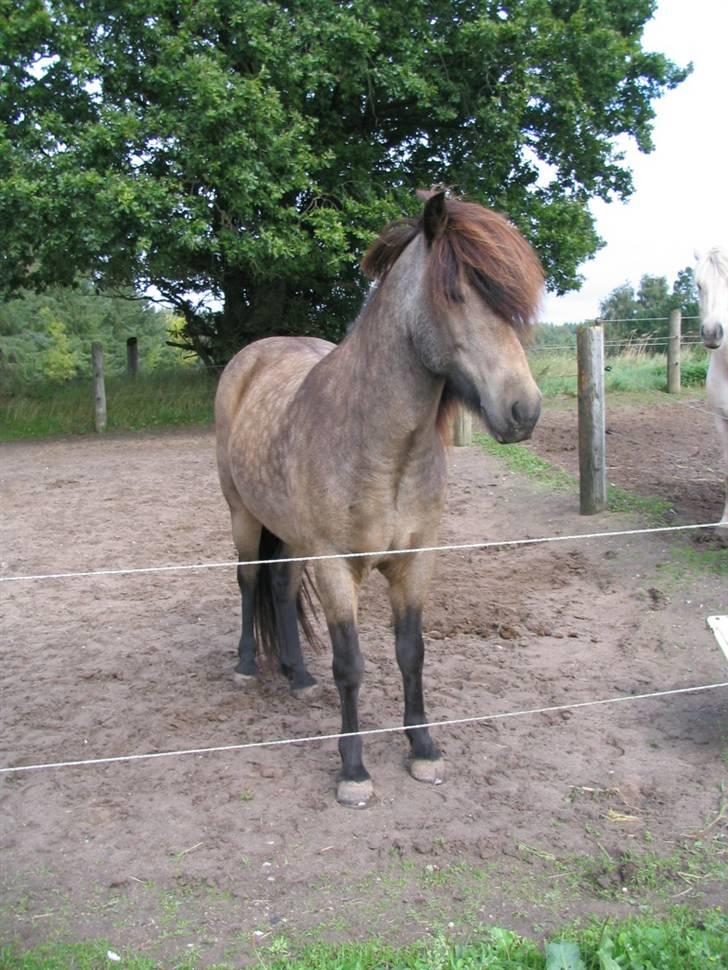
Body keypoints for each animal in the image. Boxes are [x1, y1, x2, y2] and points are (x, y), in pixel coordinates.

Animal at [213, 187, 544, 800]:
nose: (523, 410)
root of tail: (254, 354)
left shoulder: (415, 560)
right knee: (248, 579)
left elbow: (411, 653)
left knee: (280, 586)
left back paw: (298, 675)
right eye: (455, 293)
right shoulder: (336, 565)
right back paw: (247, 666)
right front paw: (353, 769)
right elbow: (351, 664)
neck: (381, 445)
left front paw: (424, 749)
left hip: (292, 536)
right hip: (244, 514)